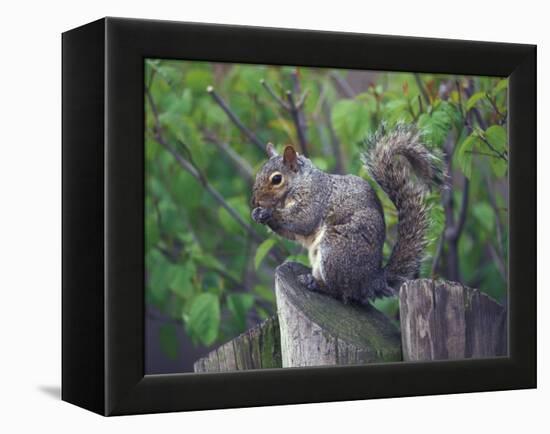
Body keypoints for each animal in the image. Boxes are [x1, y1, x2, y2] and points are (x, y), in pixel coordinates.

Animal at [252, 124, 446, 304]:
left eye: (276, 179)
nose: (255, 201)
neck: (300, 183)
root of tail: (372, 281)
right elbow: (291, 232)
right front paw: (257, 214)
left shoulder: (315, 199)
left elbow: (302, 220)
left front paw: (269, 213)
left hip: (335, 250)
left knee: (340, 292)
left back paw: (315, 283)